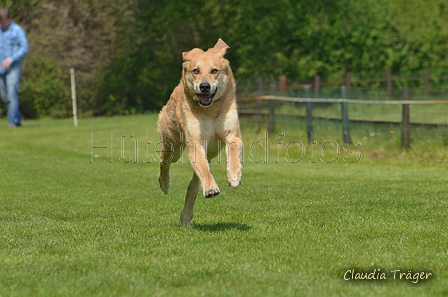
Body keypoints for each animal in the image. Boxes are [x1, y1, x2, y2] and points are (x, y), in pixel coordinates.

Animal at [157, 38, 242, 225]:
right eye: (196, 70)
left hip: (210, 153)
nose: (204, 87)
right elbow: (202, 169)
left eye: (214, 70)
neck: (210, 110)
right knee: (164, 162)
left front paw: (234, 176)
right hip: (173, 146)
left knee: (193, 185)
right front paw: (210, 189)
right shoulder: (195, 143)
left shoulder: (232, 134)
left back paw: (186, 215)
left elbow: (233, 150)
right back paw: (164, 184)